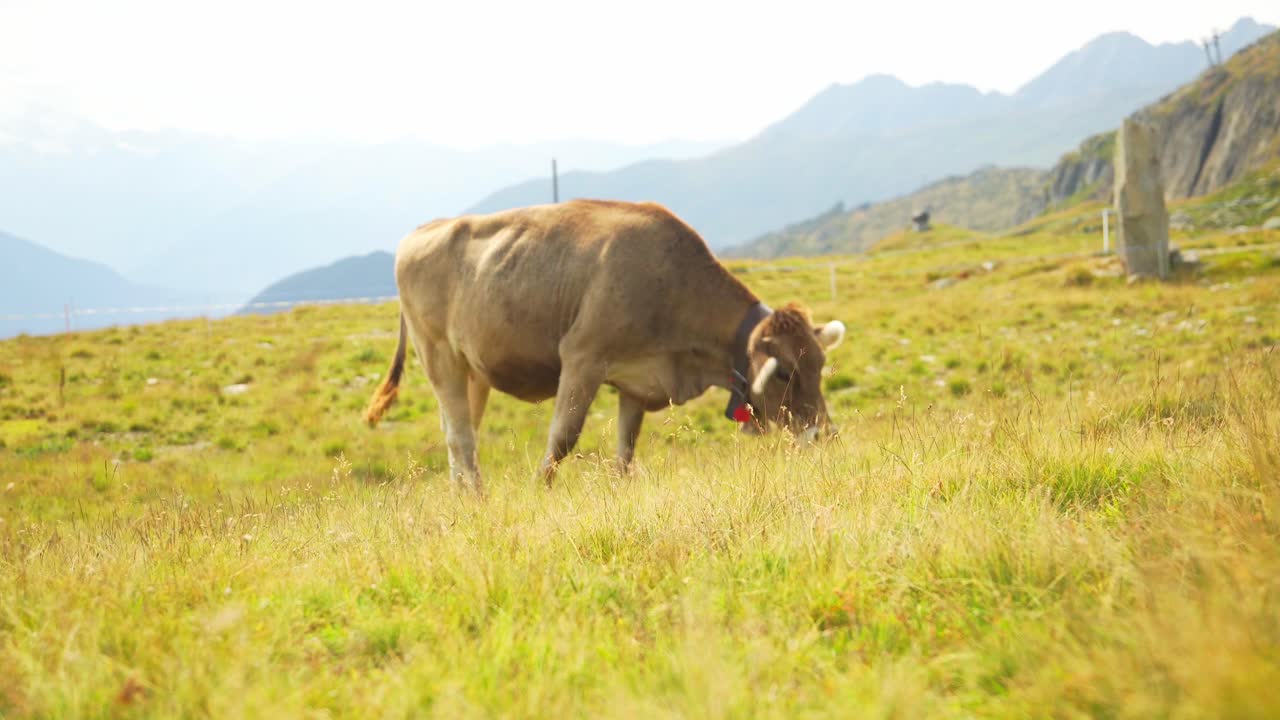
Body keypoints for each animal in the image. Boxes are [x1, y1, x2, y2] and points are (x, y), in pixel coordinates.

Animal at [364, 199, 845, 492]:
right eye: (785, 373)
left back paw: (461, 496)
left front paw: (620, 488)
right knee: (461, 436)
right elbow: (563, 437)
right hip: (437, 354)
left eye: (819, 365)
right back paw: (478, 498)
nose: (825, 435)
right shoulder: (582, 357)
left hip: (471, 370)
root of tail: (420, 232)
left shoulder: (637, 383)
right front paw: (540, 490)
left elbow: (625, 451)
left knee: (456, 431)